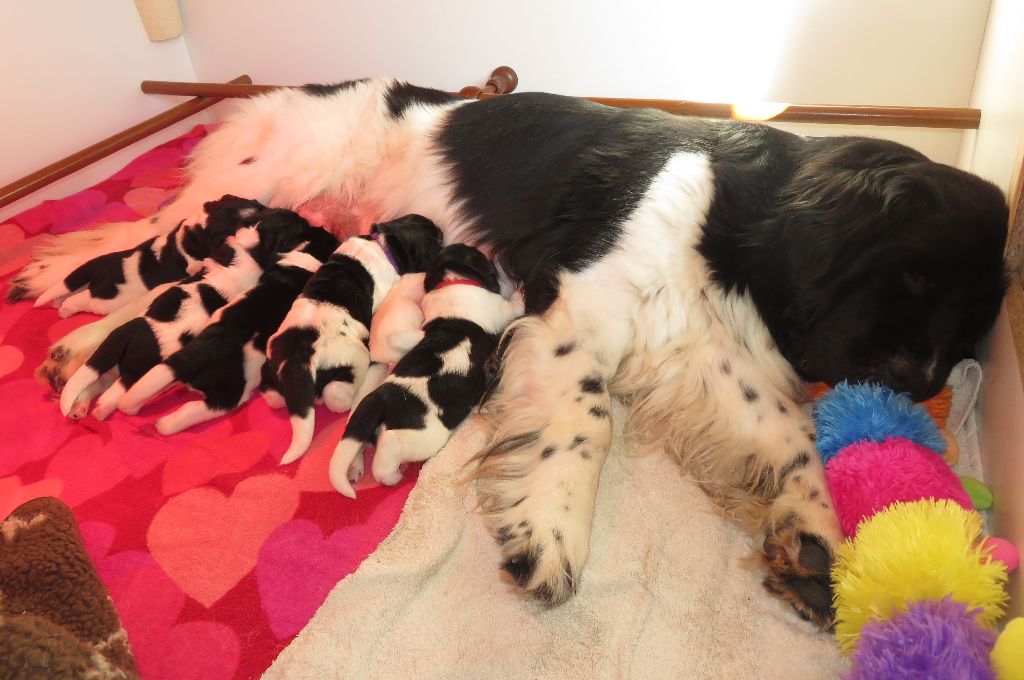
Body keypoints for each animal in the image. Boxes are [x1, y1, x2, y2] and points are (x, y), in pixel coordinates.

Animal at [266, 215, 442, 464]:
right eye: (433, 245)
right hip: (355, 358)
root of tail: (299, 359)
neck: (384, 242)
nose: (442, 234)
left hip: (272, 361)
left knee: (272, 394)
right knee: (335, 395)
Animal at [331, 241, 524, 497]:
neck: (451, 280)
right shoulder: (500, 308)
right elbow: (514, 305)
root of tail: (381, 398)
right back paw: (392, 475)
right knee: (389, 447)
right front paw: (519, 287)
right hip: (423, 437)